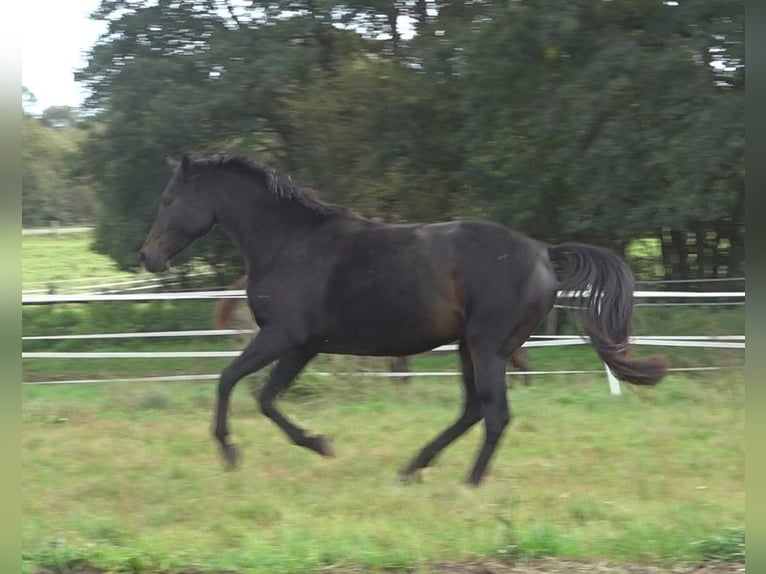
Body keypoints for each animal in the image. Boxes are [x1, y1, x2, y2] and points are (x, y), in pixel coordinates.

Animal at [141, 153, 668, 486]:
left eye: (168, 200)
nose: (148, 257)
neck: (288, 242)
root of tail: (543, 250)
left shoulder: (281, 336)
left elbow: (231, 382)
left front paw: (235, 451)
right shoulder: (302, 346)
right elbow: (266, 397)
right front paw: (317, 443)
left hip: (487, 347)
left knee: (494, 414)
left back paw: (469, 482)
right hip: (468, 347)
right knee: (473, 410)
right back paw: (413, 467)